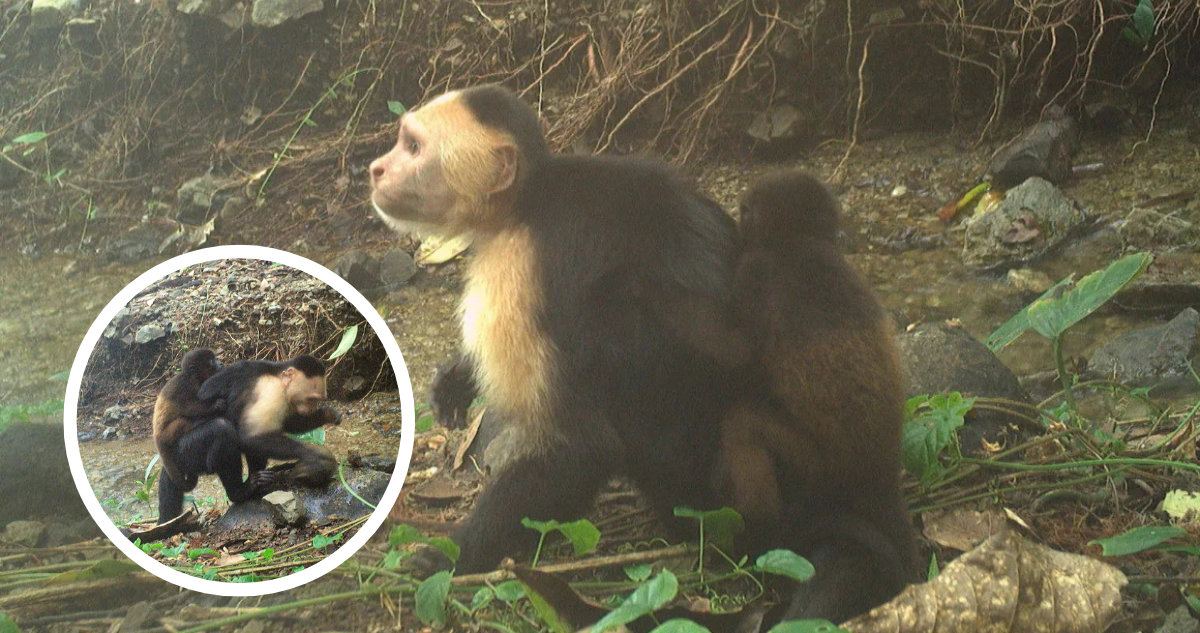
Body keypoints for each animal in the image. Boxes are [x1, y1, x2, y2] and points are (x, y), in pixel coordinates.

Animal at [369, 84, 742, 574]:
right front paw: (456, 378)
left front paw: (455, 556)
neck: (523, 203)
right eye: (402, 141)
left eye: (412, 147)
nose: (376, 168)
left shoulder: (515, 273)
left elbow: (582, 449)